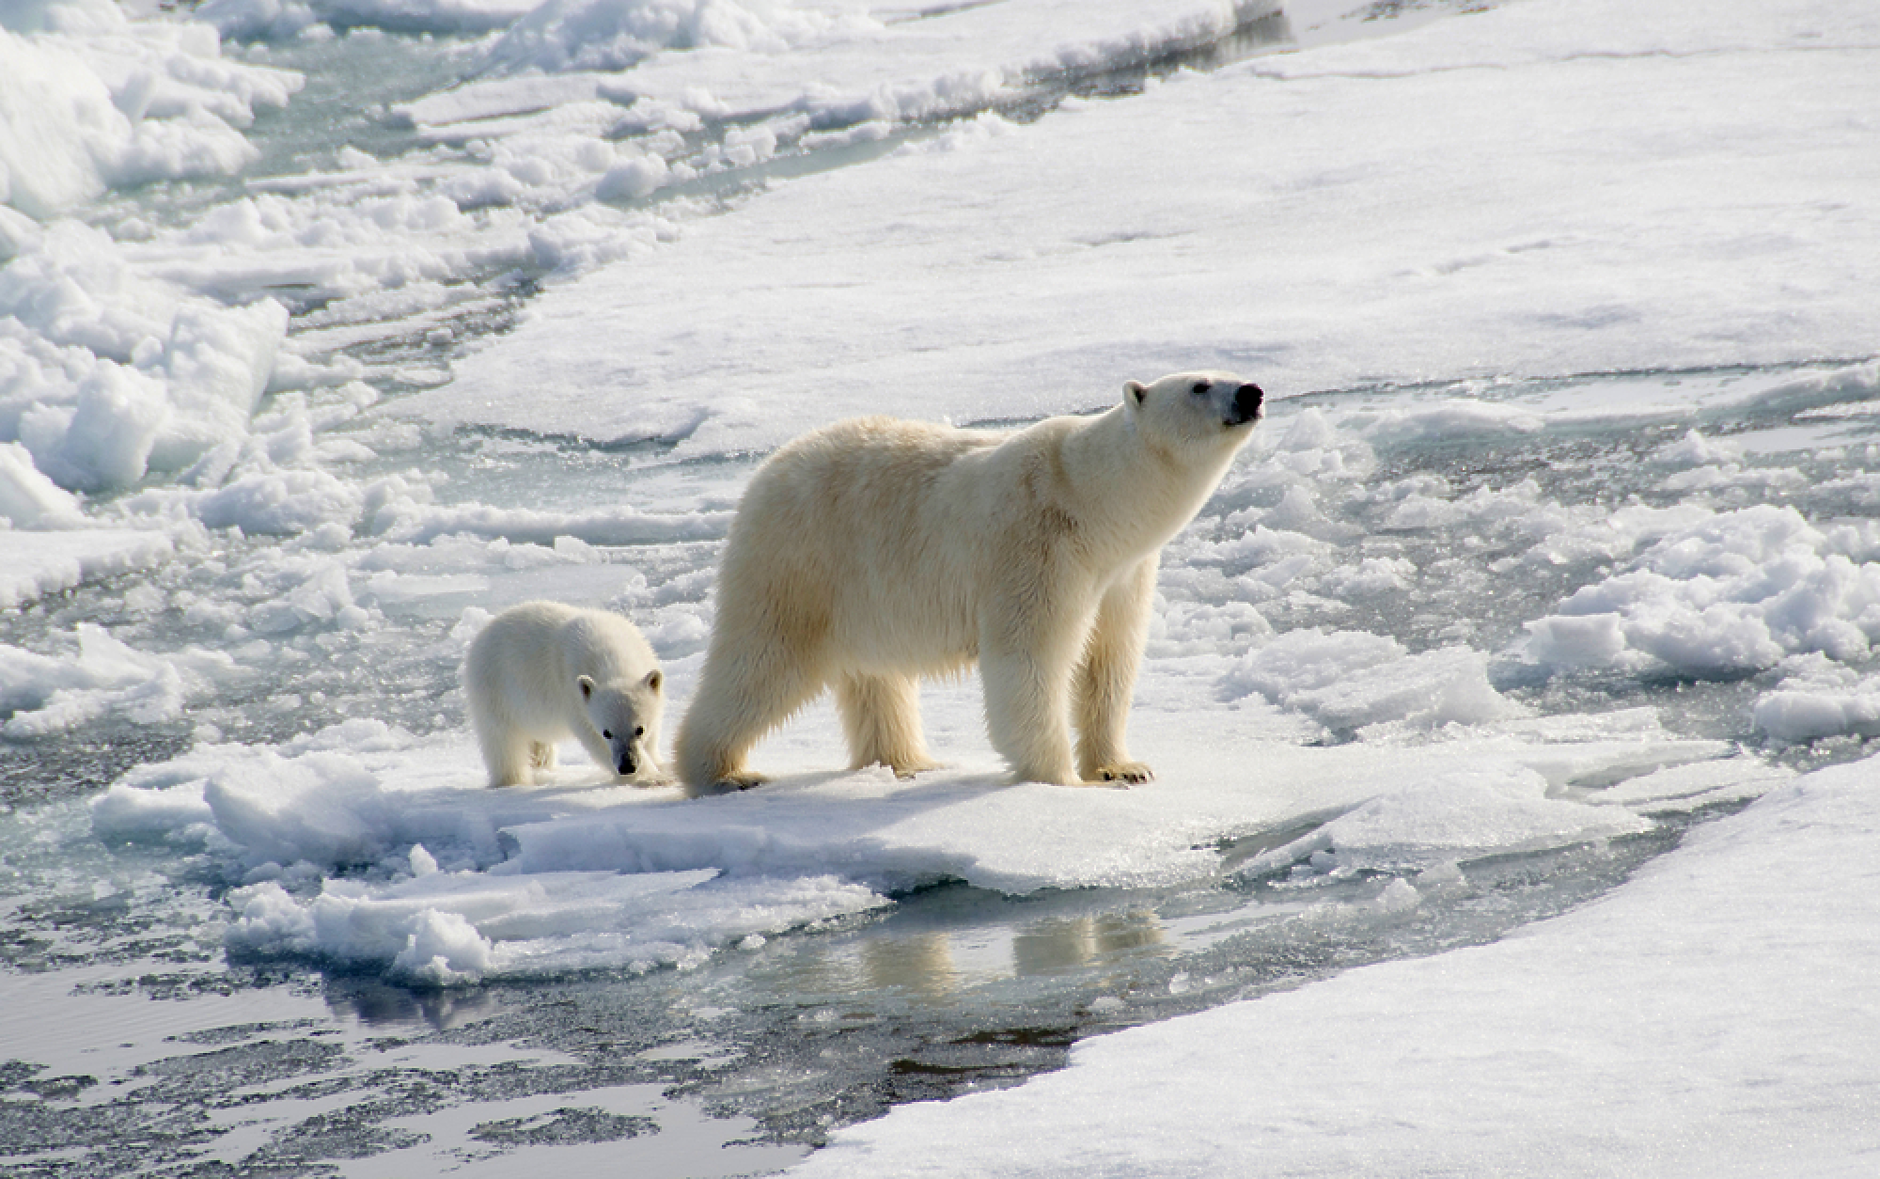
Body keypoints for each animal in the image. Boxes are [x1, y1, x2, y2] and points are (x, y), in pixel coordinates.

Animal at [676, 374, 1263, 797]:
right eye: (1200, 385)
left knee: (875, 677)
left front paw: (1123, 768)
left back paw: (909, 761)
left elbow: (1109, 662)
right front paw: (1061, 780)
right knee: (761, 660)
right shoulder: (1037, 549)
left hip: (861, 591)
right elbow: (1029, 660)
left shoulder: (1123, 573)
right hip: (799, 563)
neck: (1092, 502)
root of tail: (764, 473)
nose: (1252, 392)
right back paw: (723, 772)